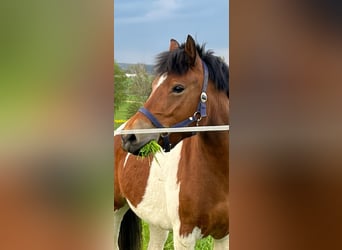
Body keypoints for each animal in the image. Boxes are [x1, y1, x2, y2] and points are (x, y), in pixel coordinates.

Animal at [113, 34, 228, 249]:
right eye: (153, 86)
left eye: (178, 88)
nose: (129, 137)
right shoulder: (184, 236)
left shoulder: (224, 235)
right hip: (116, 209)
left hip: (156, 223)